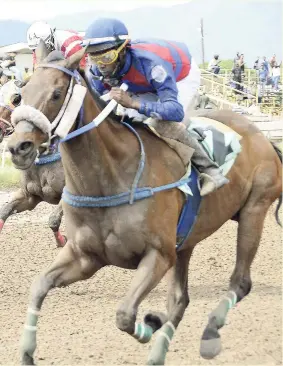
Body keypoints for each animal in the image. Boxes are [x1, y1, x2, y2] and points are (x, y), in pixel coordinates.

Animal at [7, 43, 282, 366]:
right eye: (21, 94)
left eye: (56, 93)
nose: (18, 147)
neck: (112, 176)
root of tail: (262, 136)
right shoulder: (86, 257)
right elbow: (39, 285)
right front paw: (26, 352)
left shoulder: (158, 255)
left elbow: (125, 315)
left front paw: (149, 323)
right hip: (187, 242)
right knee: (179, 300)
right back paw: (158, 353)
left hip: (254, 210)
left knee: (240, 283)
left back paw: (209, 336)